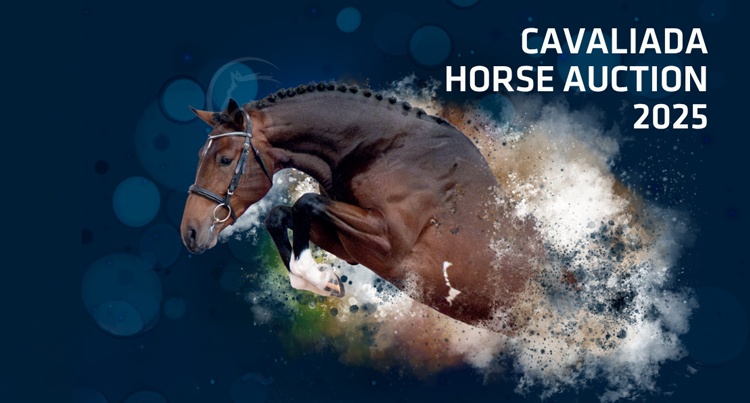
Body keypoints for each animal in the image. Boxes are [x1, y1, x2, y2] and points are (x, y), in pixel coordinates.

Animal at [180, 82, 544, 333]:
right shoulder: (350, 245)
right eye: (199, 155)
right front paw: (321, 281)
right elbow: (281, 213)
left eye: (225, 159)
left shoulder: (389, 243)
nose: (190, 233)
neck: (385, 151)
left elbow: (305, 202)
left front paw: (317, 276)